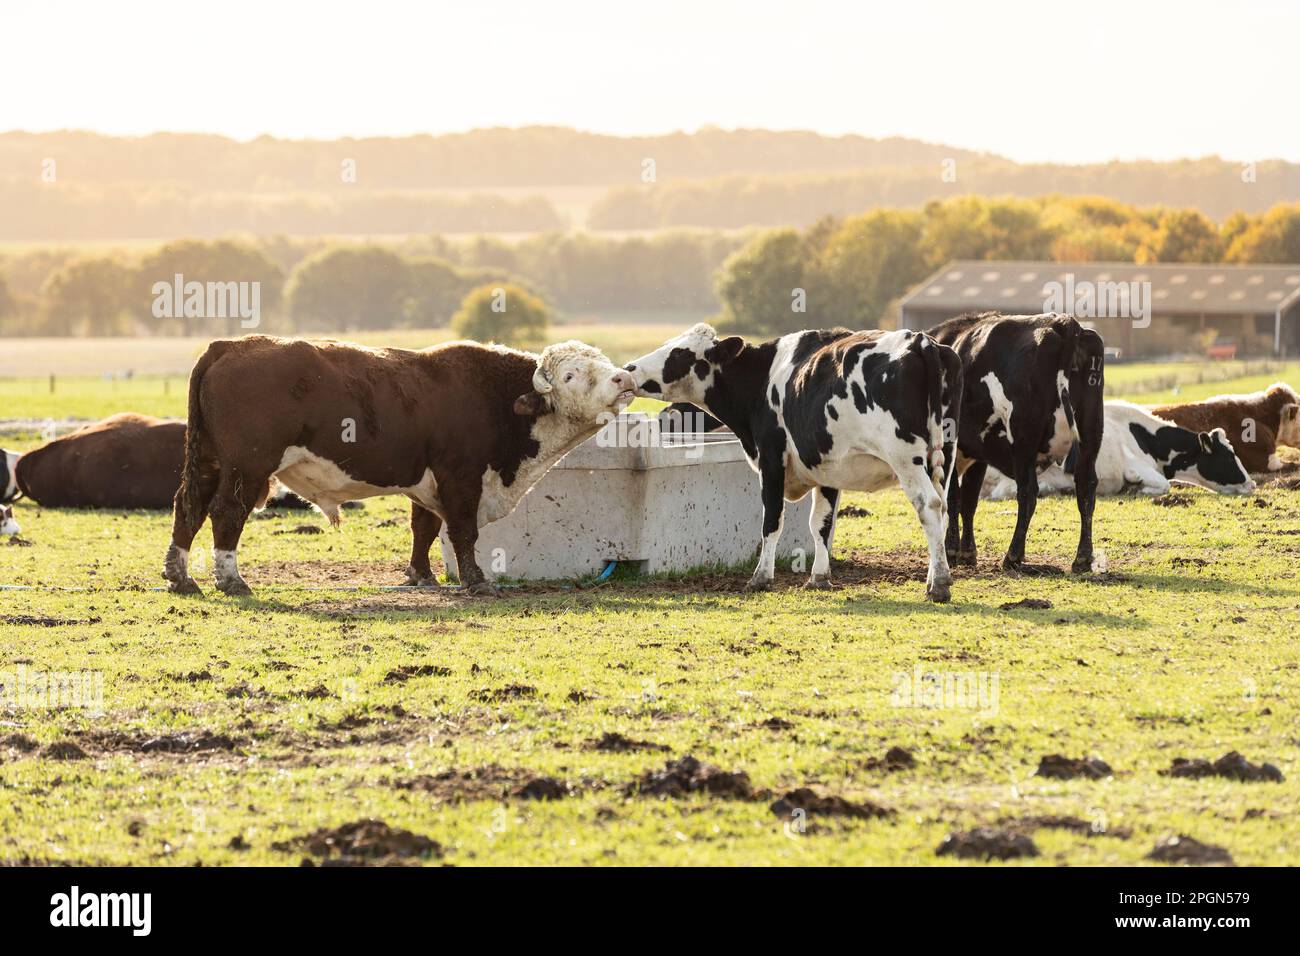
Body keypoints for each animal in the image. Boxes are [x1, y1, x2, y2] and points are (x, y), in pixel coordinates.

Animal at [159, 332, 637, 595]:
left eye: (603, 364)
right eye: (571, 375)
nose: (624, 377)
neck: (496, 398)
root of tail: (230, 346)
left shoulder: (427, 480)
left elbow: (423, 527)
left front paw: (421, 576)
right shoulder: (460, 476)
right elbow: (463, 531)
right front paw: (476, 579)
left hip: (208, 460)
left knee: (189, 506)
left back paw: (181, 576)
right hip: (246, 466)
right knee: (226, 512)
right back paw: (230, 579)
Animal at [629, 325, 967, 600]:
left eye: (678, 353)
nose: (630, 367)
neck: (761, 378)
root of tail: (921, 341)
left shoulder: (771, 457)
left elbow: (772, 520)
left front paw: (761, 577)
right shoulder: (829, 467)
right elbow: (820, 524)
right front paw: (819, 578)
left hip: (905, 457)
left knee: (929, 505)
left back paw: (939, 585)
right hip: (943, 456)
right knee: (942, 510)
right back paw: (934, 577)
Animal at [925, 310, 1107, 572]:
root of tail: (1063, 323)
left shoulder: (953, 447)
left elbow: (953, 497)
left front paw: (951, 550)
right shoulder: (978, 453)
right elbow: (969, 500)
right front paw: (967, 551)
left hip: (1023, 444)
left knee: (1028, 493)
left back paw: (1013, 555)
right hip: (1089, 440)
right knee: (1086, 489)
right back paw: (1082, 558)